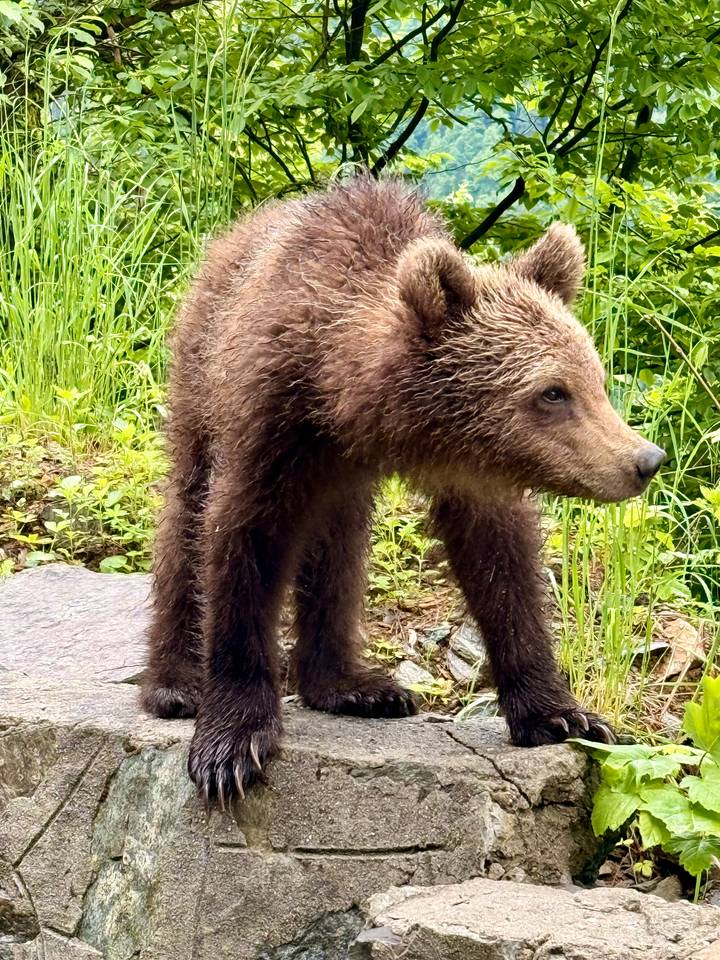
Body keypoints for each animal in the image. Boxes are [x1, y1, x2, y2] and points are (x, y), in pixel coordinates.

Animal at [141, 175, 665, 807]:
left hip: (338, 483)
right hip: (201, 370)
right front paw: (231, 744)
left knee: (338, 546)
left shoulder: (471, 472)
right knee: (187, 515)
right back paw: (174, 683)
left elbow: (501, 562)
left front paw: (561, 714)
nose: (644, 460)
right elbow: (243, 542)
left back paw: (354, 685)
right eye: (552, 392)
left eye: (596, 380)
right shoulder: (270, 423)